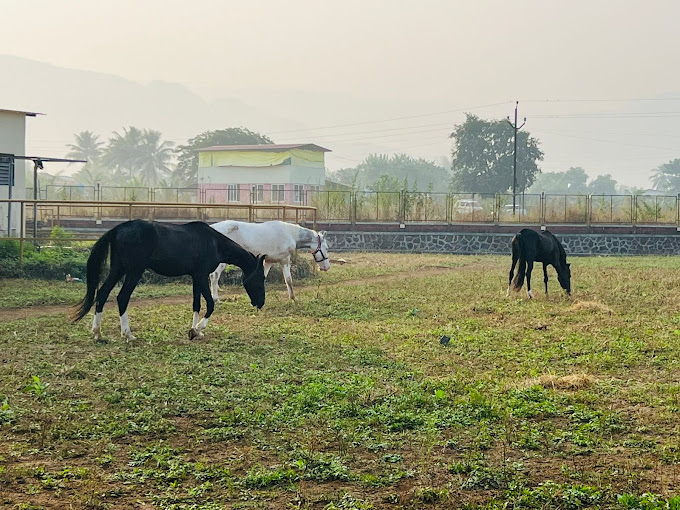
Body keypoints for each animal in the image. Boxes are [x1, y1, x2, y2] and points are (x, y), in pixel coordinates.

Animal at [71, 221, 266, 340]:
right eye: (260, 278)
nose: (261, 303)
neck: (213, 242)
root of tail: (118, 229)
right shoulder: (201, 276)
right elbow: (210, 304)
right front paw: (199, 329)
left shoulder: (196, 278)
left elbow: (196, 304)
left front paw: (194, 331)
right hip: (134, 272)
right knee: (122, 298)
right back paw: (128, 334)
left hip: (118, 269)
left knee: (103, 293)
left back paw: (97, 333)